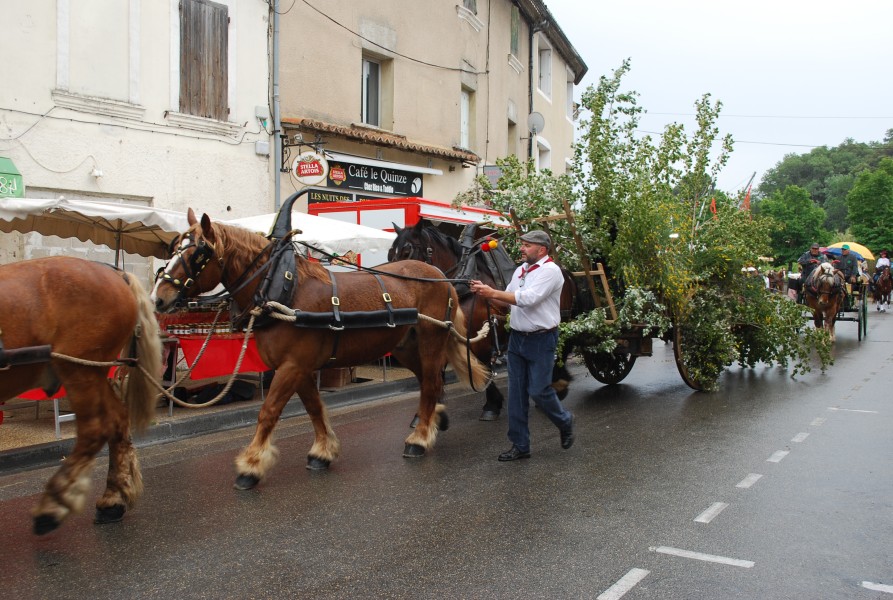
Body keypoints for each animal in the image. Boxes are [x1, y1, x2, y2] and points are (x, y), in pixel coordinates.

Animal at [0, 256, 162, 536]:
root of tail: (115, 273)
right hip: (93, 373)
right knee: (118, 421)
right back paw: (113, 499)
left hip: (79, 369)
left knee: (95, 430)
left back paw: (55, 503)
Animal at [152, 211, 488, 492]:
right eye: (173, 248)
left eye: (198, 253)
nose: (158, 298)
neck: (284, 289)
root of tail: (440, 276)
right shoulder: (297, 367)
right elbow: (314, 407)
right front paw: (323, 452)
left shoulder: (292, 366)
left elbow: (268, 412)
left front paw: (251, 465)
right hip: (404, 347)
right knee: (427, 382)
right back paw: (433, 422)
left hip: (432, 340)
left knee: (431, 383)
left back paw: (419, 439)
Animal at [390, 218, 580, 420]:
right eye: (390, 253)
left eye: (407, 252)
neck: (461, 285)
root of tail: (565, 272)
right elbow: (436, 370)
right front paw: (428, 412)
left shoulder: (481, 336)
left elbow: (485, 366)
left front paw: (492, 404)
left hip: (563, 319)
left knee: (562, 348)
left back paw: (558, 383)